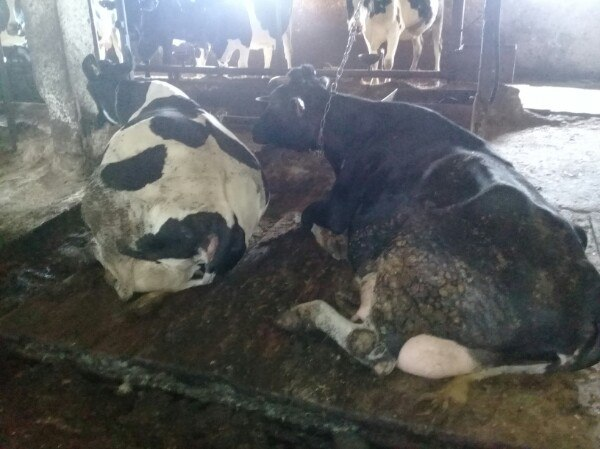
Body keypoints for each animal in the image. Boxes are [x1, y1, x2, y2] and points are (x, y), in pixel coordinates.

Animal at [137, 0, 296, 68]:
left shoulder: (245, 40)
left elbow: (241, 64)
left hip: (286, 30)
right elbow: (206, 63)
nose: (139, 53)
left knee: (287, 52)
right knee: (267, 52)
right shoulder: (206, 45)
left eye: (151, 25)